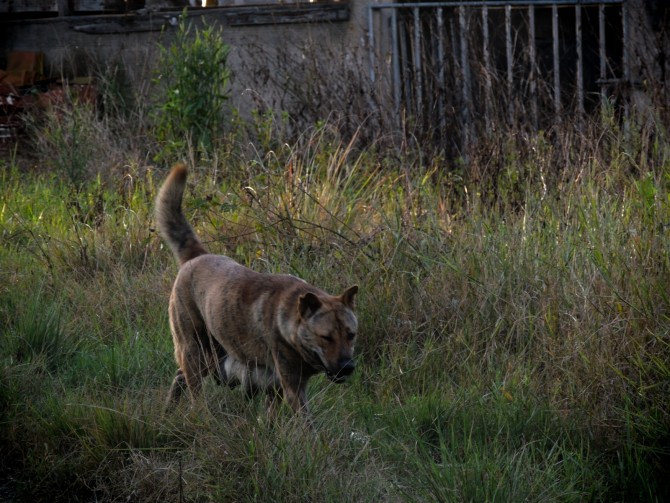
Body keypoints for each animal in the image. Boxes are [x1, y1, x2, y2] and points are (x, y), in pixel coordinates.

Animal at [157, 165, 360, 418]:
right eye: (326, 337)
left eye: (351, 334)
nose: (347, 367)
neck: (290, 319)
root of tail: (198, 255)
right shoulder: (292, 387)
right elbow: (306, 422)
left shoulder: (276, 387)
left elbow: (270, 416)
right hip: (196, 351)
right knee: (193, 390)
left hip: (211, 356)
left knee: (179, 376)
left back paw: (167, 411)